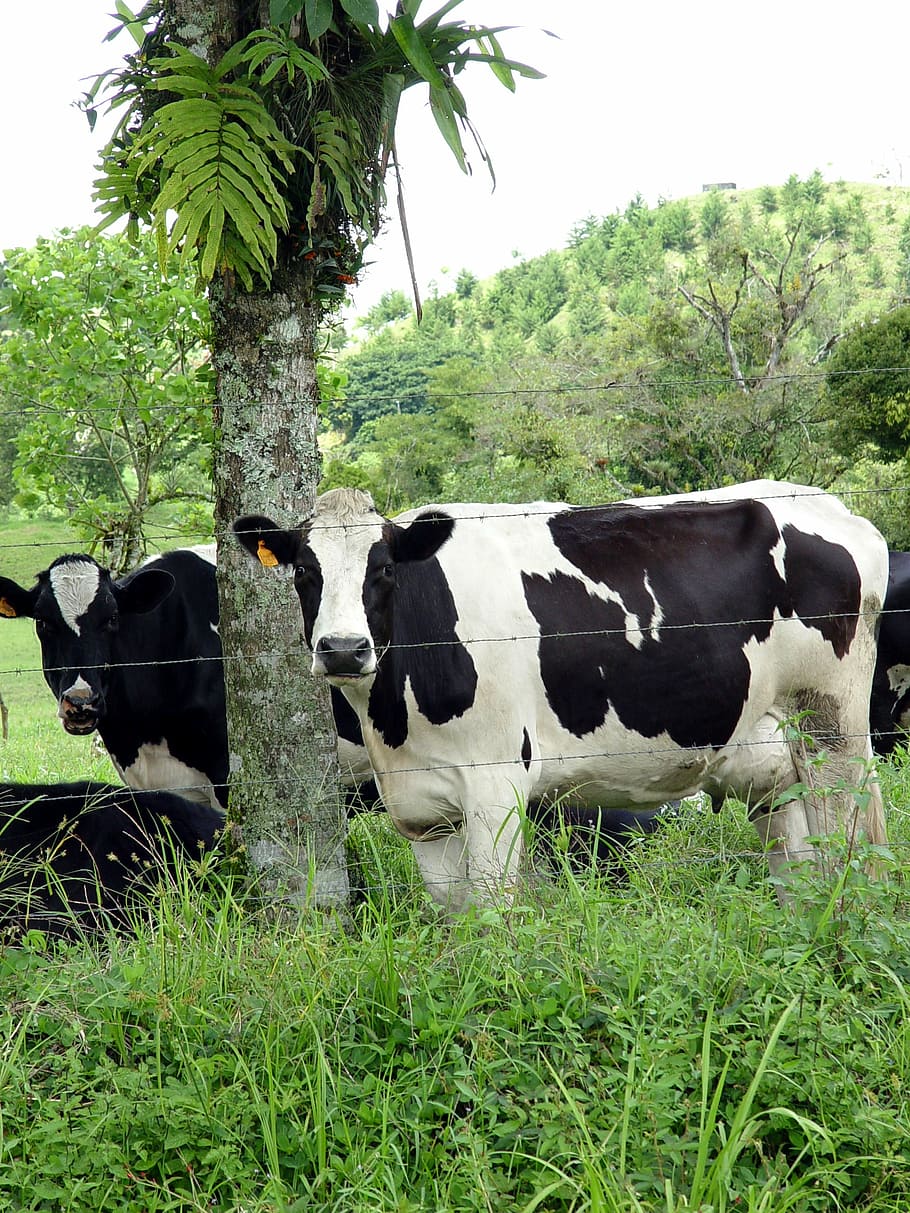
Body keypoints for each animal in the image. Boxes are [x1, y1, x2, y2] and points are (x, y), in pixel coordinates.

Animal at [234, 483, 889, 912]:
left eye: (386, 570)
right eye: (303, 572)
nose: (344, 649)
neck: (394, 723)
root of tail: (836, 507)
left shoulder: (496, 783)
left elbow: (492, 910)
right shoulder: (421, 809)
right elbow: (453, 914)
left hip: (831, 728)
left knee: (851, 841)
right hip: (772, 759)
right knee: (799, 866)